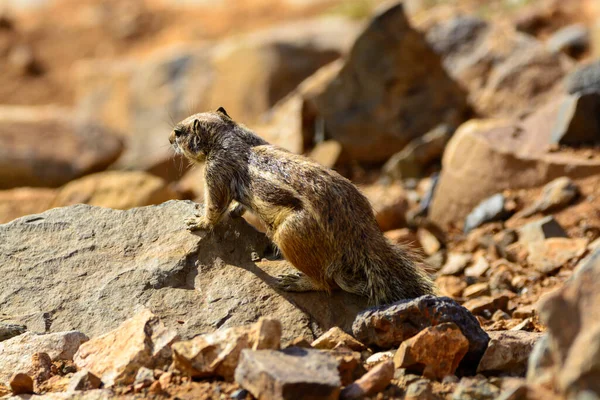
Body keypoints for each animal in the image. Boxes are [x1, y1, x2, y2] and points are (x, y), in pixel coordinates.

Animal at [169, 108, 436, 304]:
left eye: (178, 132)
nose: (170, 139)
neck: (229, 135)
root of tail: (360, 236)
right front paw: (236, 211)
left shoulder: (216, 172)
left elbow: (215, 206)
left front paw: (198, 222)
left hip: (290, 235)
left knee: (327, 283)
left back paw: (295, 282)